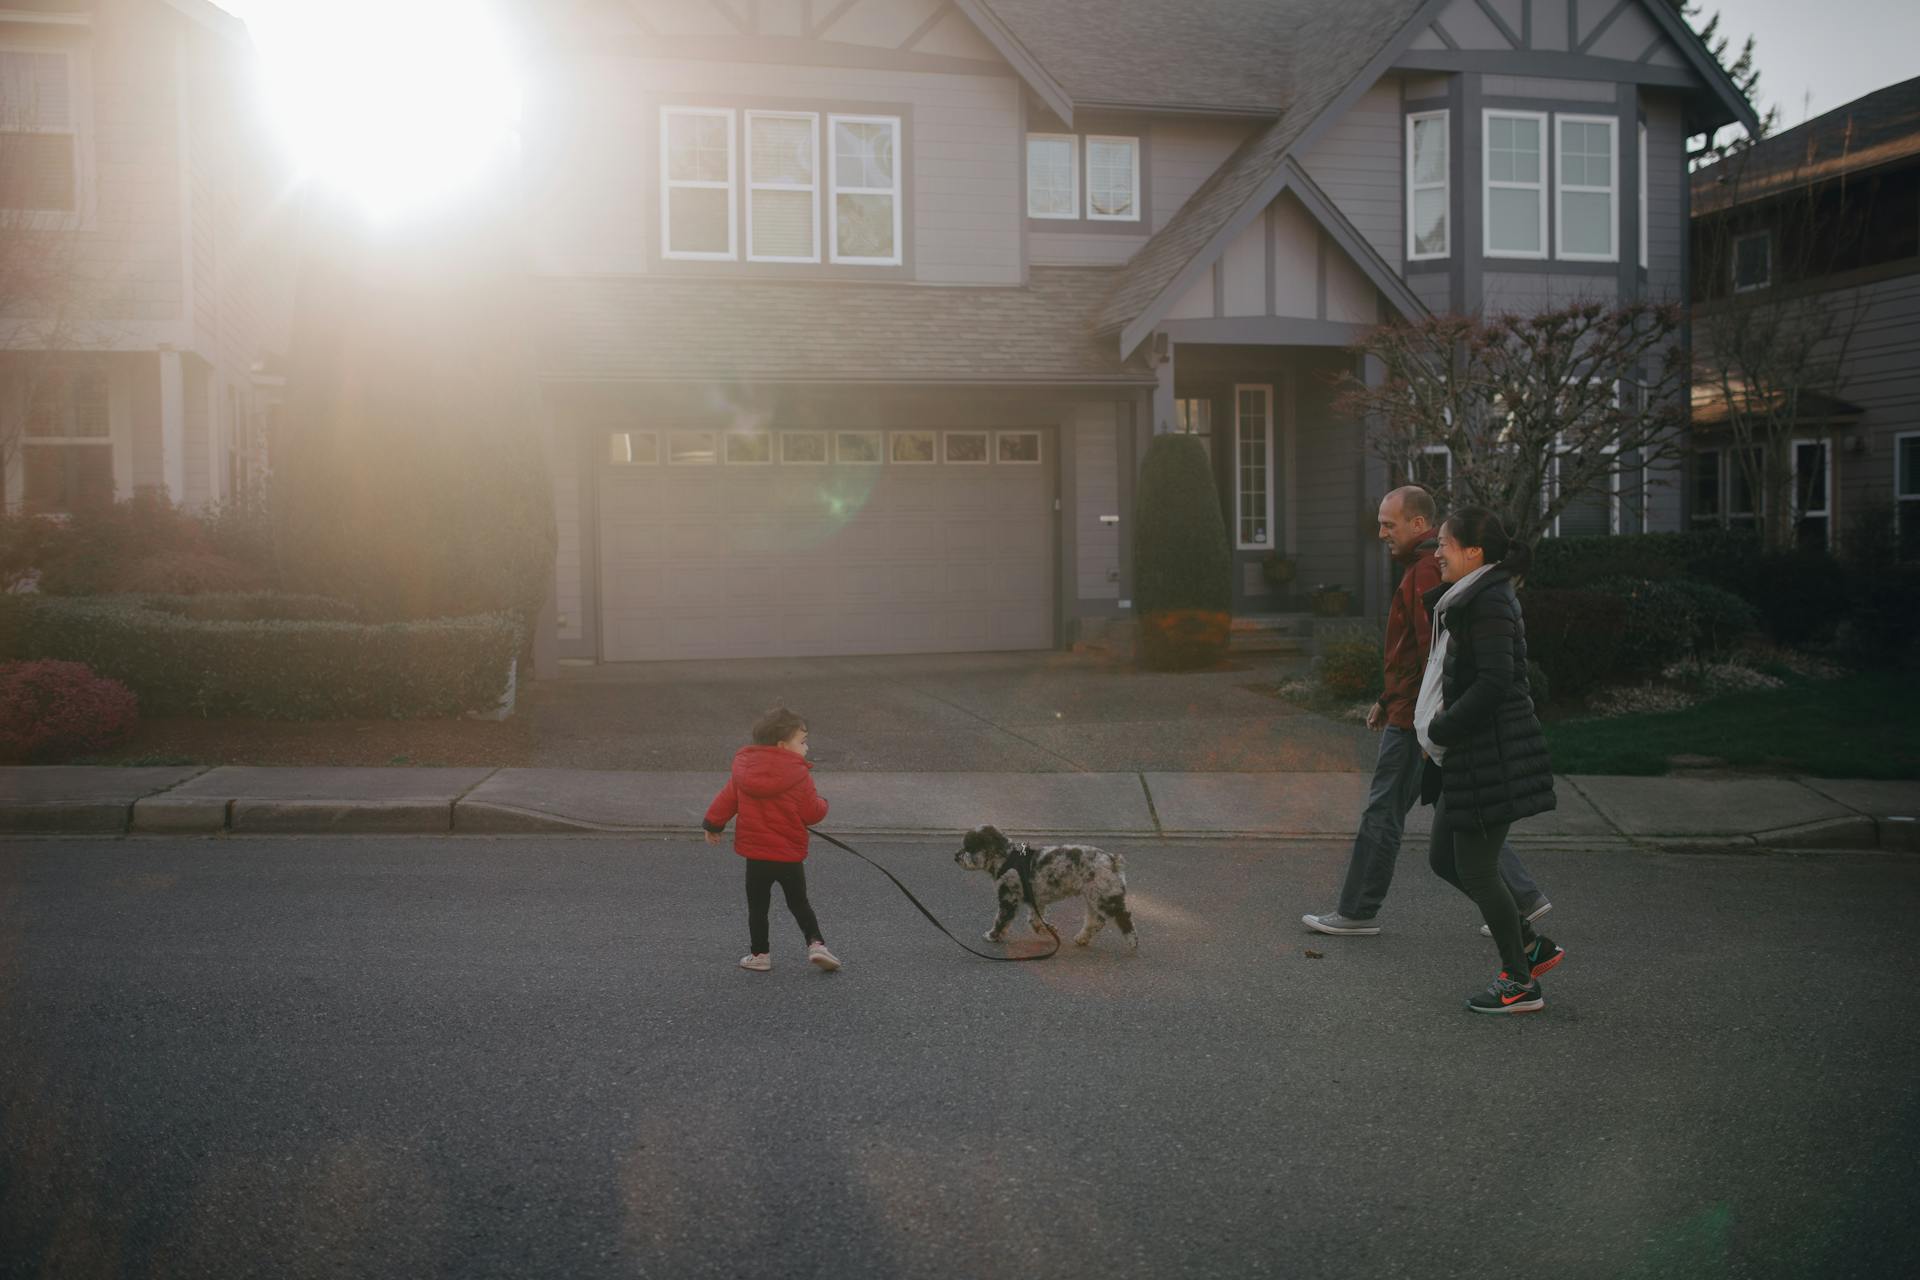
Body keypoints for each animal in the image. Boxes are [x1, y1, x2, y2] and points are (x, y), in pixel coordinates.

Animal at [952, 832, 1128, 951]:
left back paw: (1131, 941)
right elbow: (1035, 922)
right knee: (1096, 921)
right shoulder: (1036, 901)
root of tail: (1112, 860)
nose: (956, 856)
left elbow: (1002, 919)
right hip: (1094, 897)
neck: (1006, 859)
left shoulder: (1009, 896)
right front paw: (1049, 930)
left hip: (1105, 896)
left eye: (969, 848)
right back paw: (1082, 938)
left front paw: (993, 935)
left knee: (1123, 916)